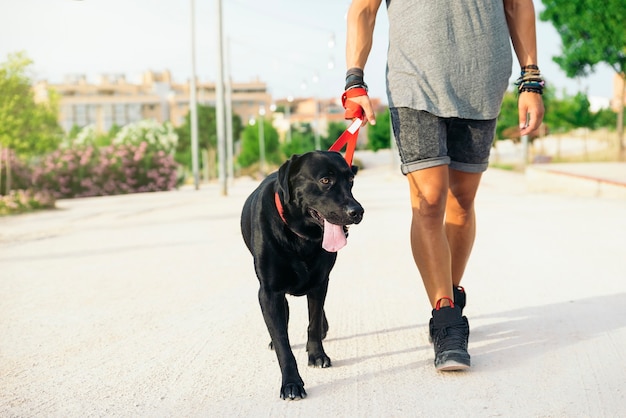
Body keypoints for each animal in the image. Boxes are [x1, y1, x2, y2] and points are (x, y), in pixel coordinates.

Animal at [241, 152, 364, 400]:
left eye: (351, 181)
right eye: (325, 180)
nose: (357, 212)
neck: (300, 236)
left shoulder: (320, 282)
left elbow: (313, 323)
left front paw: (316, 355)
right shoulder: (269, 292)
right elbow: (282, 342)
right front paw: (291, 383)